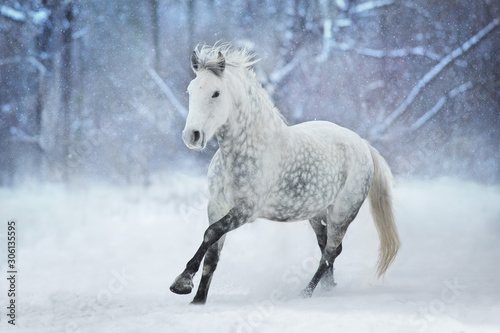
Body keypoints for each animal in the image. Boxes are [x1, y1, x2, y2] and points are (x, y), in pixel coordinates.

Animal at [170, 44, 400, 304]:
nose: (192, 136)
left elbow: (211, 233)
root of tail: (363, 144)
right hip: (317, 213)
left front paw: (182, 282)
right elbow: (212, 254)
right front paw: (198, 300)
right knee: (326, 248)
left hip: (342, 213)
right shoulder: (217, 205)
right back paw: (327, 288)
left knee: (331, 251)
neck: (245, 151)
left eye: (216, 93)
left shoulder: (247, 209)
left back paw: (306, 292)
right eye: (190, 91)